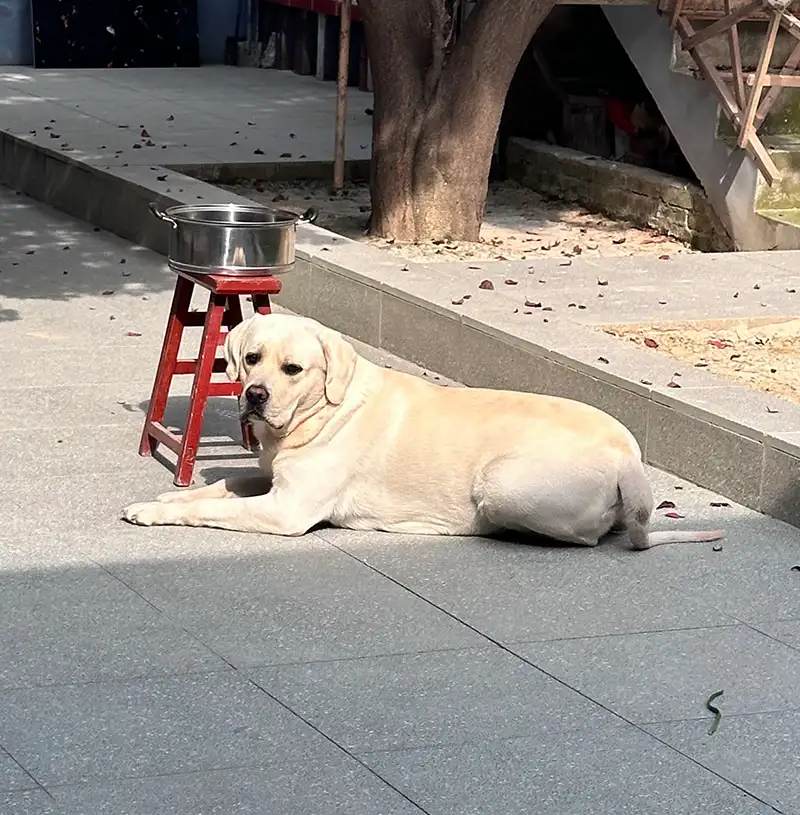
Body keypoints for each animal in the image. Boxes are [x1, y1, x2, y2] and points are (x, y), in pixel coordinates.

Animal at [123, 312, 724, 548]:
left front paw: (156, 511)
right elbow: (224, 484)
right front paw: (165, 496)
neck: (321, 414)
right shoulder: (271, 480)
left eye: (292, 369)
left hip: (502, 486)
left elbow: (212, 508)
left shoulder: (285, 510)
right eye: (250, 358)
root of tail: (630, 457)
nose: (255, 395)